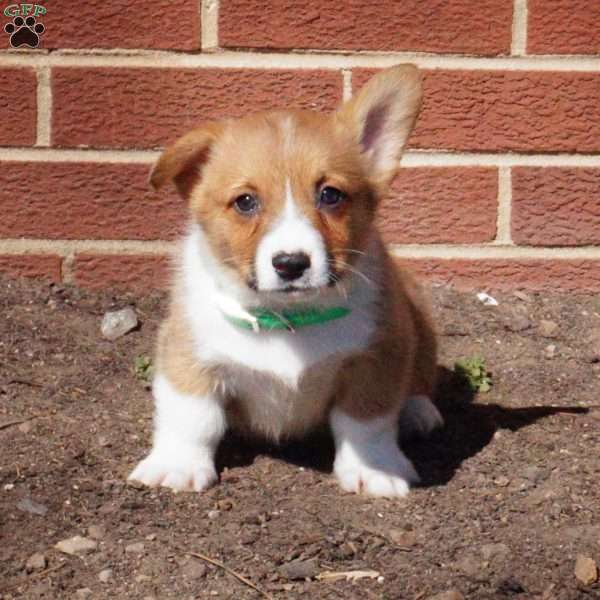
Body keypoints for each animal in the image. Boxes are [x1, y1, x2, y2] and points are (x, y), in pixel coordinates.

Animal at [129, 64, 442, 496]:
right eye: (245, 202)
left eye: (331, 195)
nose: (291, 264)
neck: (287, 317)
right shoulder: (187, 354)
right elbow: (192, 416)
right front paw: (176, 465)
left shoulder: (376, 357)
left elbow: (367, 423)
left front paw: (375, 470)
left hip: (420, 323)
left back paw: (418, 412)